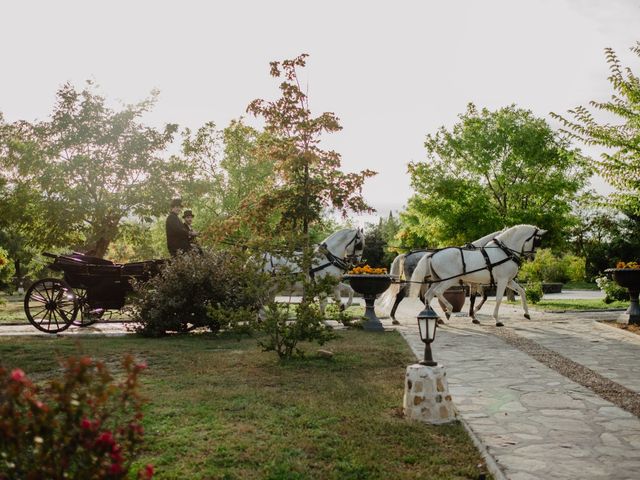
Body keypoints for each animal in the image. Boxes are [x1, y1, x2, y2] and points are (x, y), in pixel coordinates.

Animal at [410, 225, 544, 326]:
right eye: (537, 241)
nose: (532, 257)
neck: (504, 251)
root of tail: (432, 255)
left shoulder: (509, 280)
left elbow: (522, 291)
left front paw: (526, 313)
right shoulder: (502, 280)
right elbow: (498, 298)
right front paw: (497, 320)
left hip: (438, 280)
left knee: (428, 295)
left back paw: (435, 318)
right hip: (448, 280)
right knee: (437, 292)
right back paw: (448, 310)